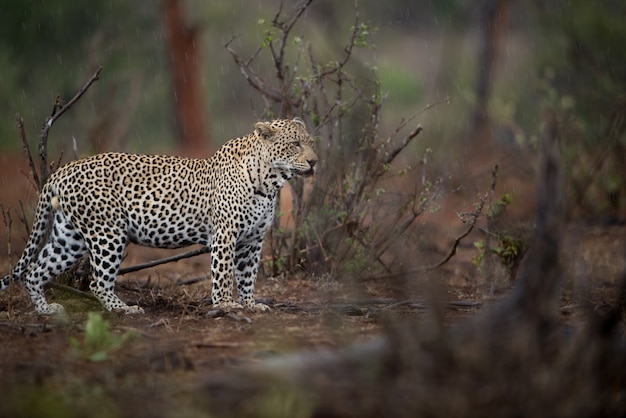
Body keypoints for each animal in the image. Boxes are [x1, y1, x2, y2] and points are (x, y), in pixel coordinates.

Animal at [0, 116, 316, 314]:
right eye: (295, 144)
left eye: (310, 142)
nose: (314, 161)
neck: (269, 182)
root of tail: (60, 171)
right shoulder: (225, 235)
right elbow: (224, 273)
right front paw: (226, 305)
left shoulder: (252, 240)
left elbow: (248, 275)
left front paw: (250, 305)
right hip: (107, 234)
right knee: (96, 281)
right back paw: (123, 309)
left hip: (70, 238)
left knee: (35, 270)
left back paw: (46, 311)